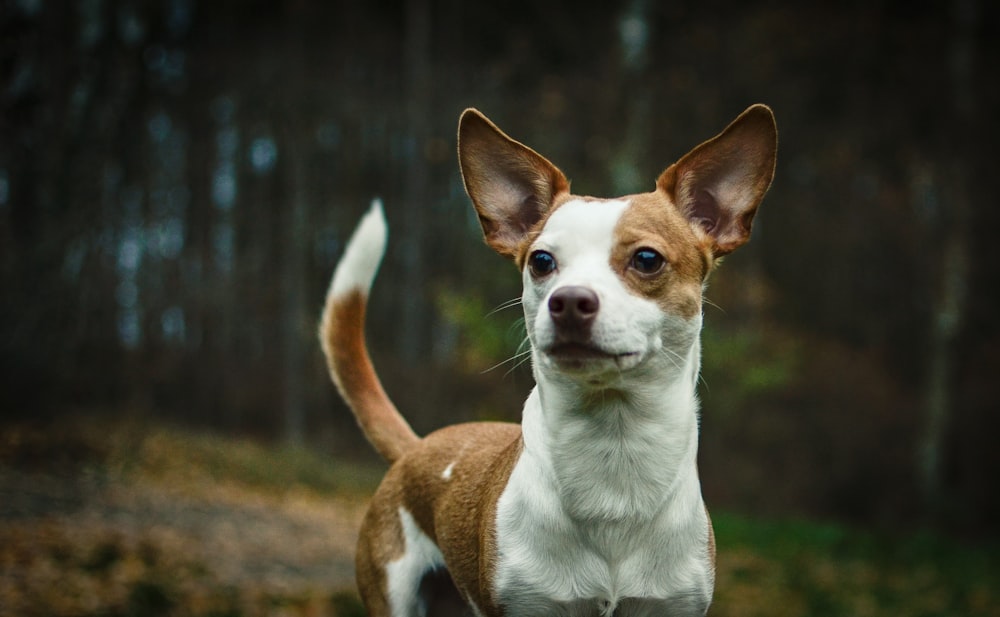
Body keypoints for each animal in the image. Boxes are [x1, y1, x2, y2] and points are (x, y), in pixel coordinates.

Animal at [322, 107, 780, 616]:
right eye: (541, 261)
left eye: (647, 259)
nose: (569, 301)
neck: (614, 454)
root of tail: (415, 448)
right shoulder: (528, 603)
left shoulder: (673, 603)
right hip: (394, 591)